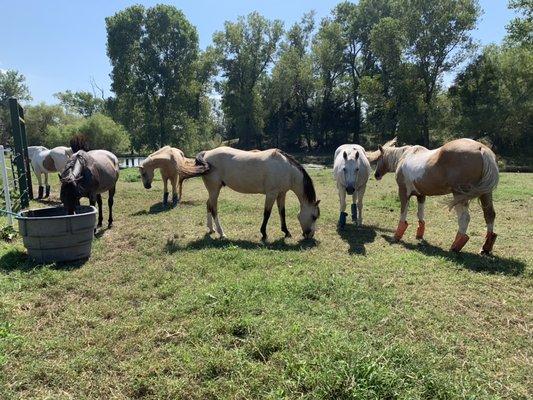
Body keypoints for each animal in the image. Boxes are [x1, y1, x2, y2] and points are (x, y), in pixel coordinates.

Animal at [177, 148, 322, 239]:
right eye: (314, 216)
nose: (310, 235)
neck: (286, 168)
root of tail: (207, 153)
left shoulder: (281, 194)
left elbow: (282, 213)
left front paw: (286, 232)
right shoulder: (271, 194)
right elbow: (267, 213)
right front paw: (264, 234)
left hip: (213, 190)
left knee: (208, 205)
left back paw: (211, 229)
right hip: (214, 189)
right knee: (214, 209)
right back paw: (221, 233)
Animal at [366, 138, 498, 253]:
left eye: (379, 157)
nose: (376, 174)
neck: (405, 156)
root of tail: (481, 149)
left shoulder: (404, 192)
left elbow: (403, 214)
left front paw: (397, 236)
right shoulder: (421, 195)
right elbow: (420, 215)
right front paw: (419, 235)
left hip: (460, 195)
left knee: (464, 218)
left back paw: (455, 246)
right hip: (485, 194)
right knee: (489, 215)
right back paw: (485, 248)